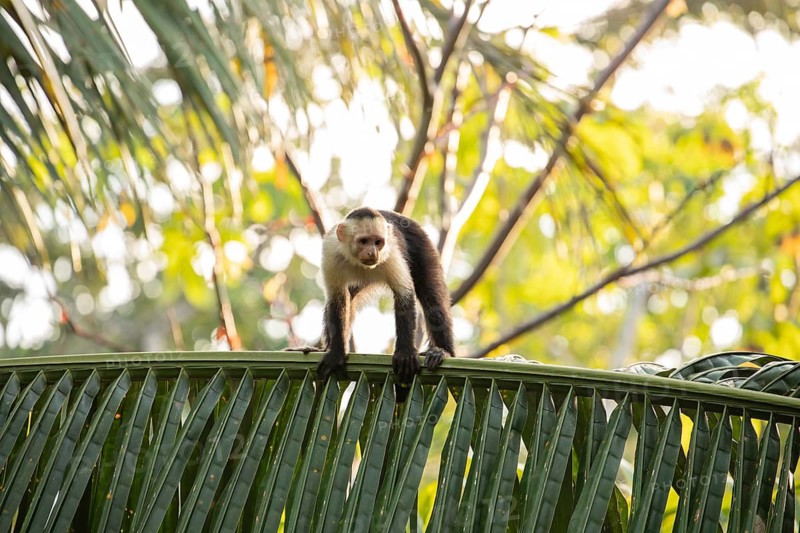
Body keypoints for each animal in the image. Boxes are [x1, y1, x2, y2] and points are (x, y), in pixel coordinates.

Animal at [313, 207, 455, 387]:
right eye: (364, 241)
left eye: (378, 242)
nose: (372, 252)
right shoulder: (331, 252)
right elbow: (337, 299)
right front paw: (336, 353)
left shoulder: (391, 251)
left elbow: (404, 294)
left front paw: (405, 352)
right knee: (348, 297)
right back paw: (325, 348)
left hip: (422, 243)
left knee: (432, 299)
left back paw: (444, 351)